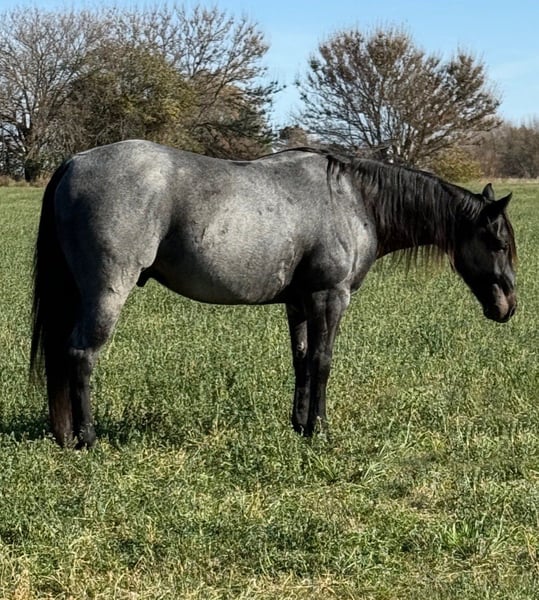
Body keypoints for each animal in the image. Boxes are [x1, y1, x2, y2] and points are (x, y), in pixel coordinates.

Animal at [30, 140, 517, 448]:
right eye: (497, 243)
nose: (508, 307)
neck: (353, 199)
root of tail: (75, 161)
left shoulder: (299, 303)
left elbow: (301, 362)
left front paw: (299, 425)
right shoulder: (329, 297)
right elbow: (322, 362)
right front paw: (320, 429)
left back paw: (65, 435)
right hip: (107, 291)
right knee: (81, 355)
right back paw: (87, 438)